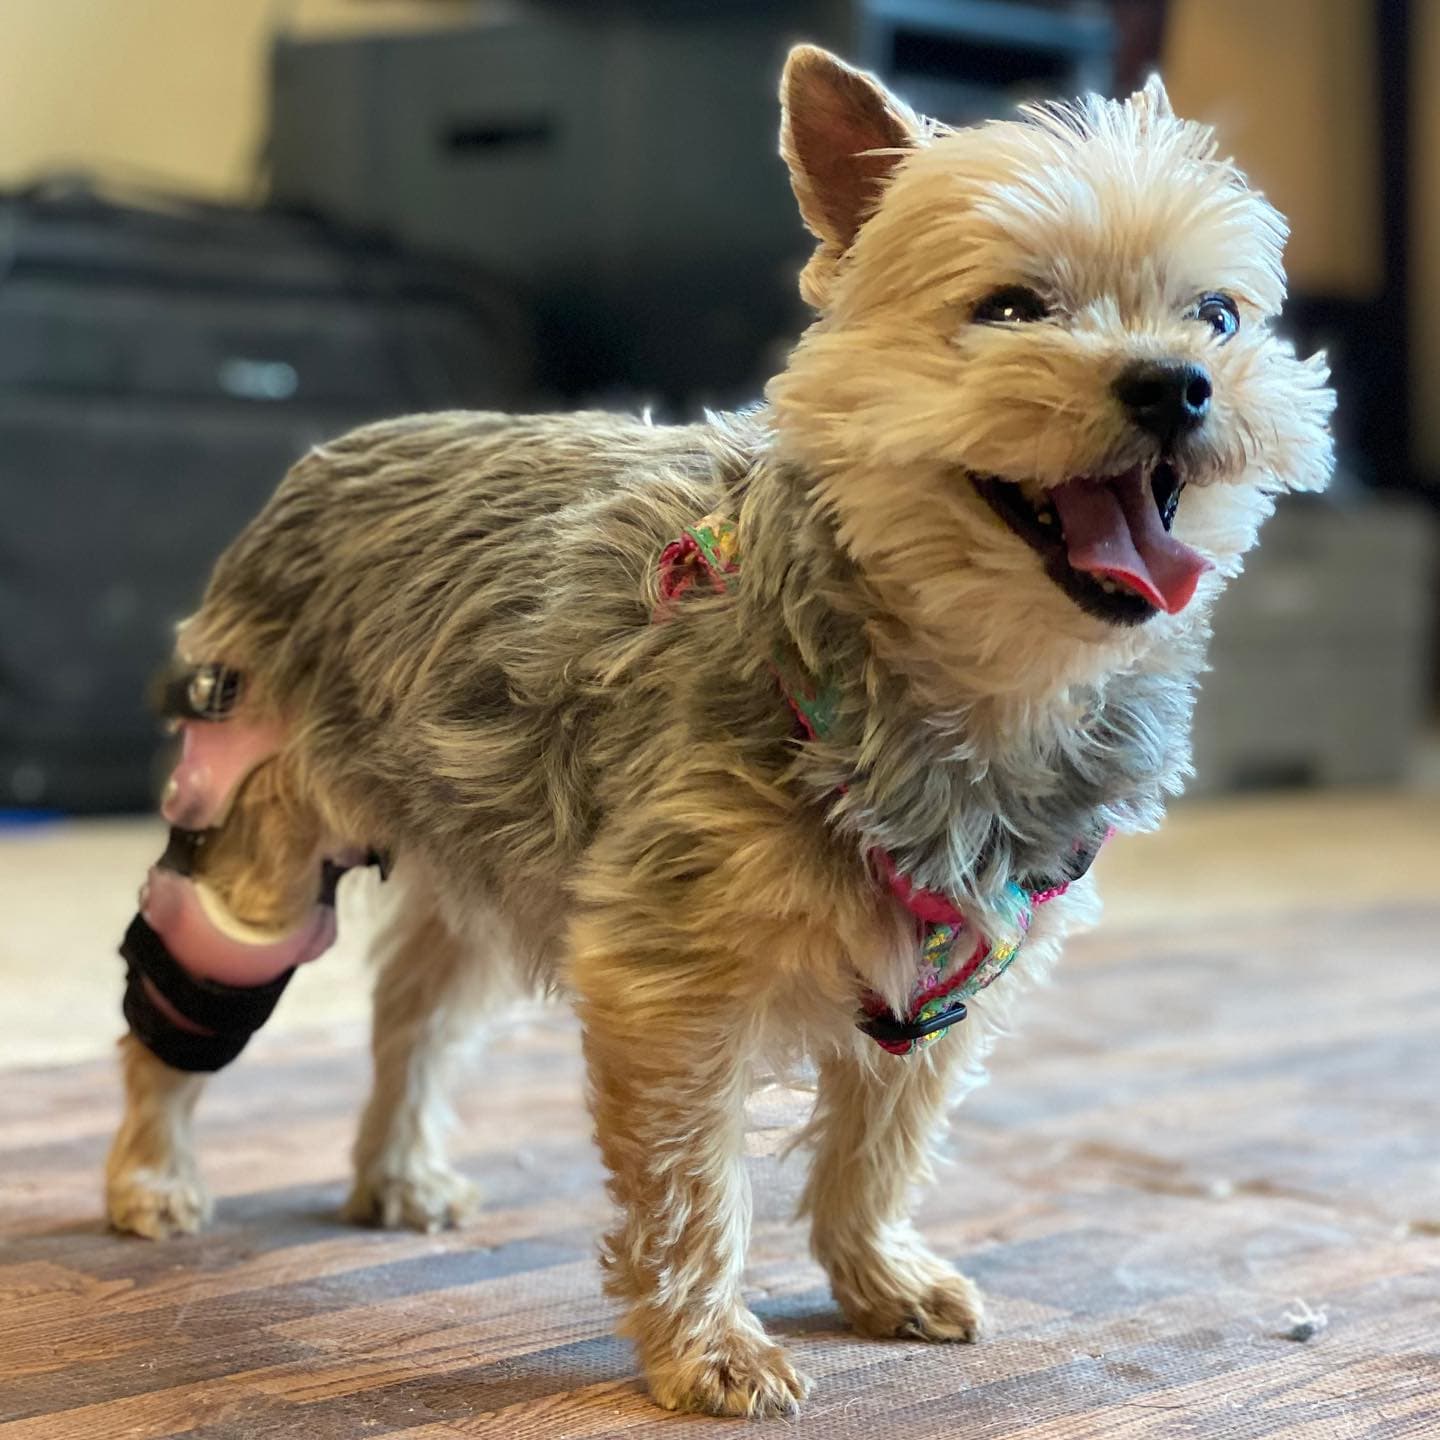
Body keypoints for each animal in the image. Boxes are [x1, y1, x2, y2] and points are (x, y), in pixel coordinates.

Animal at [106, 45, 1330, 1416]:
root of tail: (330, 453)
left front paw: (876, 1273)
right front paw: (709, 1347)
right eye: (1014, 309)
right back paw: (151, 1177)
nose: (1178, 384)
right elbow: (693, 1183)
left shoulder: (951, 970)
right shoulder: (668, 975)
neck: (968, 688)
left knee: (416, 1009)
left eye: (1218, 315)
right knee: (177, 1011)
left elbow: (883, 1139)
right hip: (253, 842)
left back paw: (398, 1170)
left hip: (484, 851)